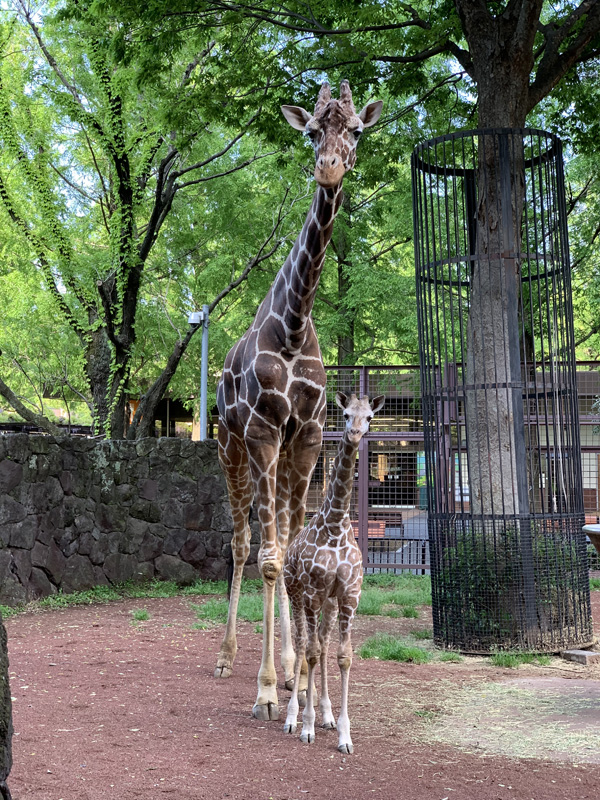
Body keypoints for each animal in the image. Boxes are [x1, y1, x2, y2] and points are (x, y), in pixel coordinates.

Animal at [218, 79, 382, 720]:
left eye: (355, 130)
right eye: (311, 130)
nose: (329, 167)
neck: (292, 326)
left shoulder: (307, 433)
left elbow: (288, 547)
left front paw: (294, 679)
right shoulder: (262, 431)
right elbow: (267, 557)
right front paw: (265, 689)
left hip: (283, 451)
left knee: (277, 536)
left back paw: (289, 669)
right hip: (229, 447)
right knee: (242, 542)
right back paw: (227, 658)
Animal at [282, 390, 384, 752]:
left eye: (369, 417)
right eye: (345, 414)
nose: (354, 434)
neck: (336, 527)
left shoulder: (349, 594)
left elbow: (343, 656)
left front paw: (343, 734)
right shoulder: (312, 591)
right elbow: (310, 652)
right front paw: (306, 727)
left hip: (327, 601)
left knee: (323, 644)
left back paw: (324, 714)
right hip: (296, 593)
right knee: (303, 644)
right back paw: (292, 717)